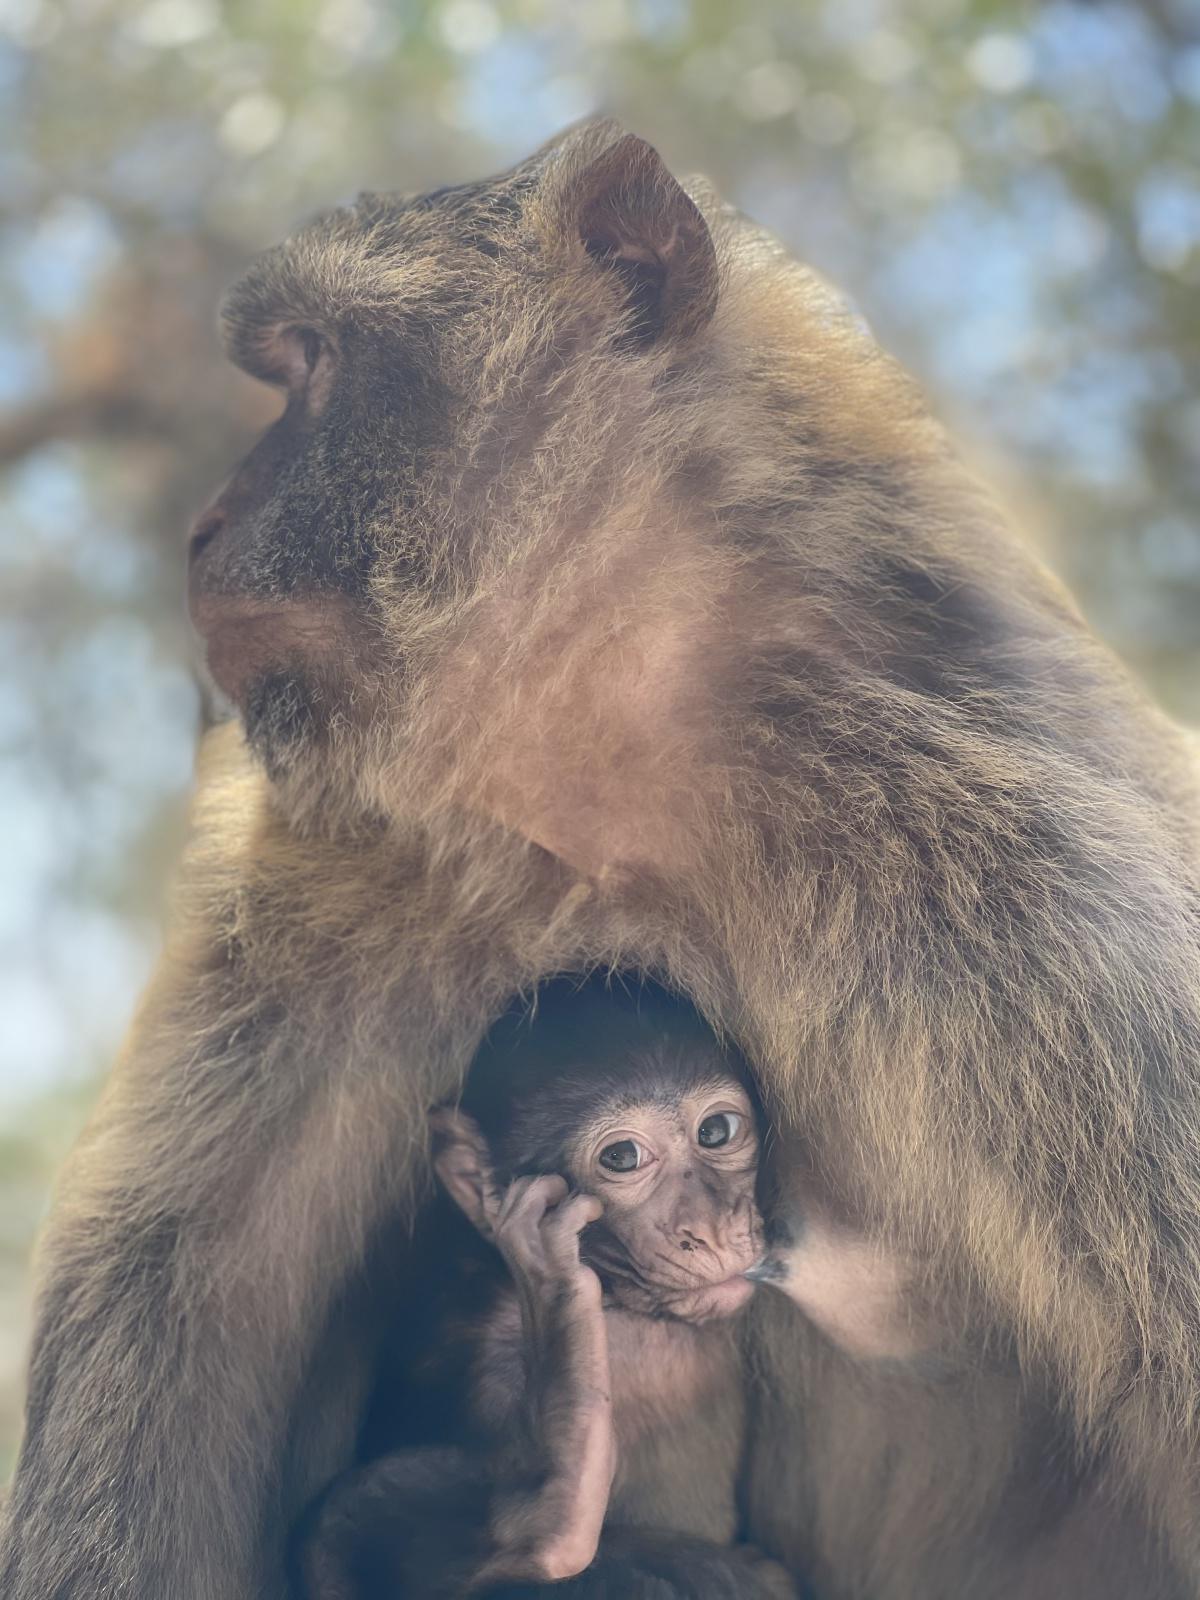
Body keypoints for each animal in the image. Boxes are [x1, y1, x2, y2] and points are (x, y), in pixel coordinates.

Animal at [296, 977, 795, 1599]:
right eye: (622, 1157)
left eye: (716, 1132)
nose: (711, 1227)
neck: (623, 1311)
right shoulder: (483, 1354)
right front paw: (547, 1503)